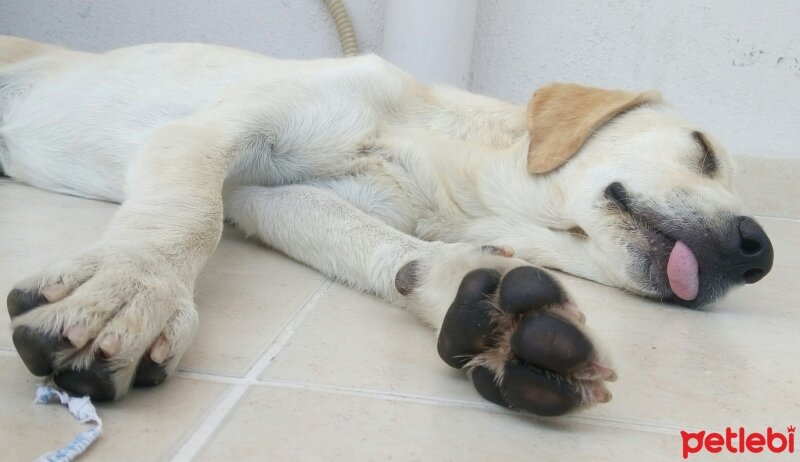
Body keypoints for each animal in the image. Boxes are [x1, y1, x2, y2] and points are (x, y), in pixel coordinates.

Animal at [1, 36, 776, 416]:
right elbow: (189, 213)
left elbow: (389, 253)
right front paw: (135, 284)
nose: (758, 254)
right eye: (703, 149)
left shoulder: (268, 197)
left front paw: (487, 307)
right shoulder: (215, 137)